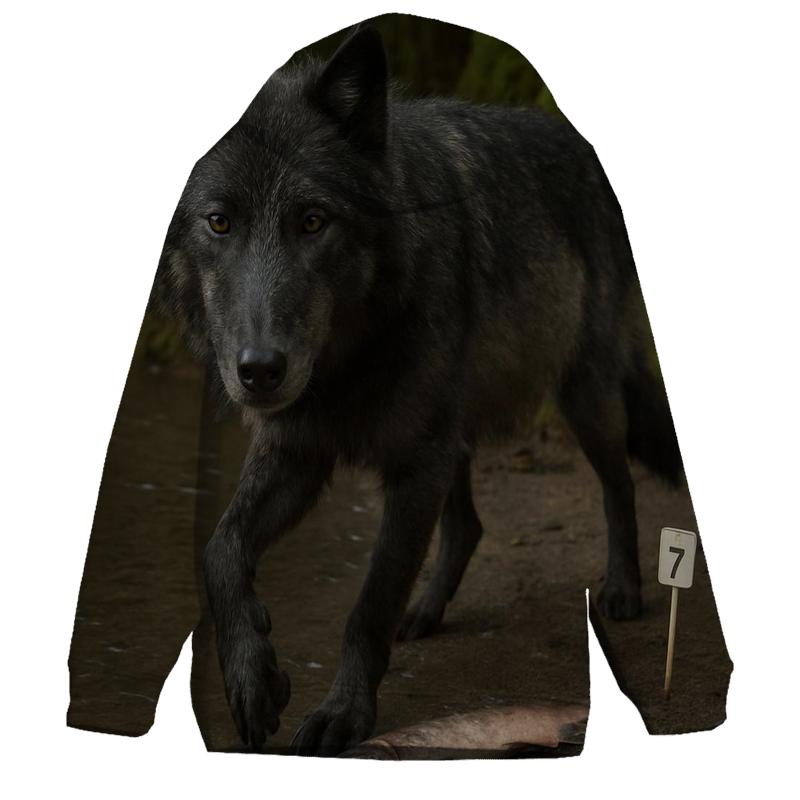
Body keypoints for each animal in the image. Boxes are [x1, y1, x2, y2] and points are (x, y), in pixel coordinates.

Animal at [150, 25, 683, 755]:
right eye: (219, 222)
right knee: (468, 525)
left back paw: (623, 589)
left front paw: (344, 713)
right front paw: (253, 680)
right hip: (454, 431)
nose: (260, 370)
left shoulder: (410, 466)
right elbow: (220, 550)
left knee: (618, 483)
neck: (352, 356)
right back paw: (427, 609)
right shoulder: (301, 449)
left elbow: (370, 603)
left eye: (312, 221)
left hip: (581, 397)